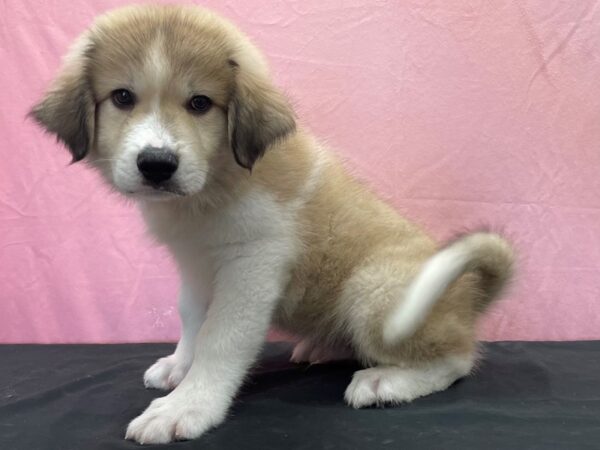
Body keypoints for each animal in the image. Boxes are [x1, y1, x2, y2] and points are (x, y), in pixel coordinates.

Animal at [30, 4, 512, 446]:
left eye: (200, 103)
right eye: (123, 97)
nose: (157, 164)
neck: (214, 184)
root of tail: (470, 294)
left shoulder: (253, 262)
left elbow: (220, 338)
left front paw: (188, 405)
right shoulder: (194, 265)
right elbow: (192, 318)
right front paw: (180, 366)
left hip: (375, 289)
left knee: (458, 359)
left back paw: (385, 381)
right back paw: (324, 346)